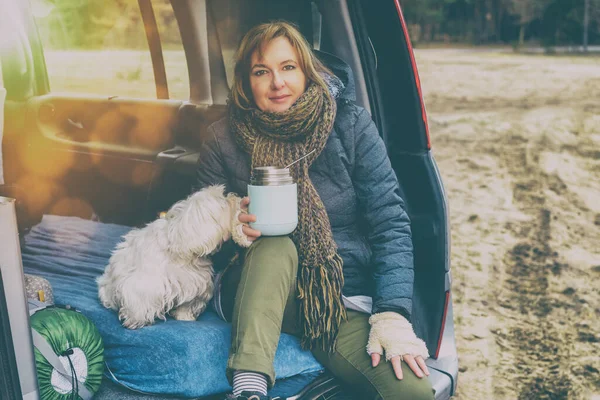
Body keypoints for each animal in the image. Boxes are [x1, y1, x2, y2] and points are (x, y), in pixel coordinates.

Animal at [97, 184, 250, 328]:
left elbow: (186, 304)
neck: (180, 244)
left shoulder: (193, 284)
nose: (235, 196)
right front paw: (135, 321)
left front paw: (185, 317)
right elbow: (139, 302)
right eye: (223, 201)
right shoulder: (144, 284)